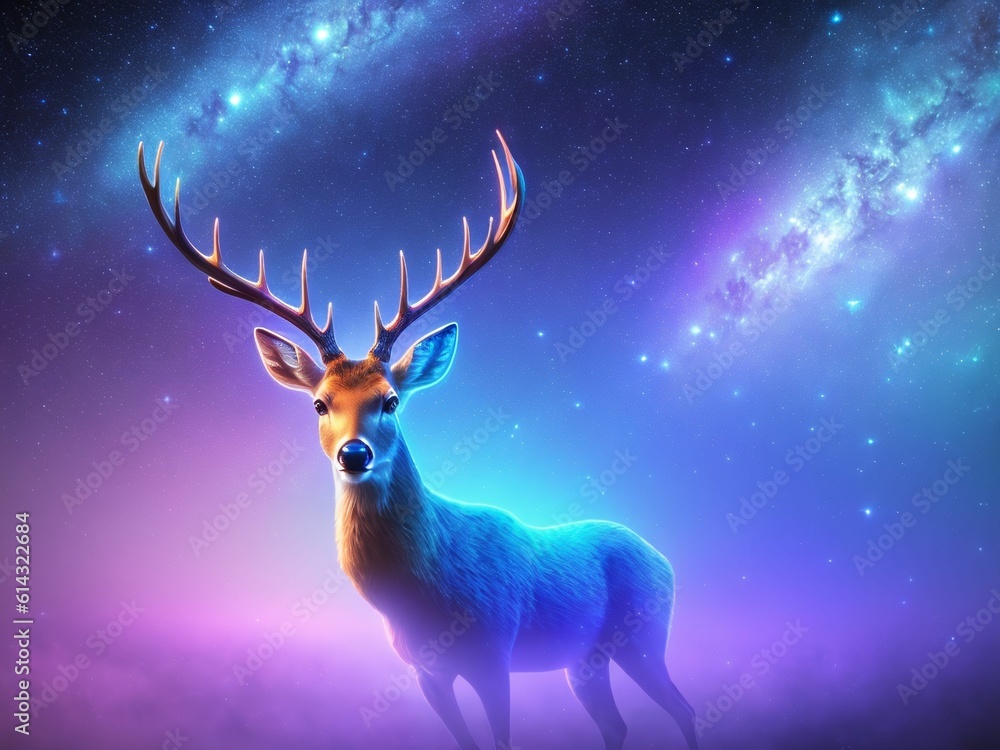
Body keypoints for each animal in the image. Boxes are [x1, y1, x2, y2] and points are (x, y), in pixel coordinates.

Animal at [137, 133, 698, 750]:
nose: (354, 453)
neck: (425, 595)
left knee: (683, 707)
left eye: (391, 400)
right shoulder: (425, 672)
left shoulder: (493, 652)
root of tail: (667, 560)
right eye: (319, 403)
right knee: (616, 722)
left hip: (645, 635)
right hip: (586, 658)